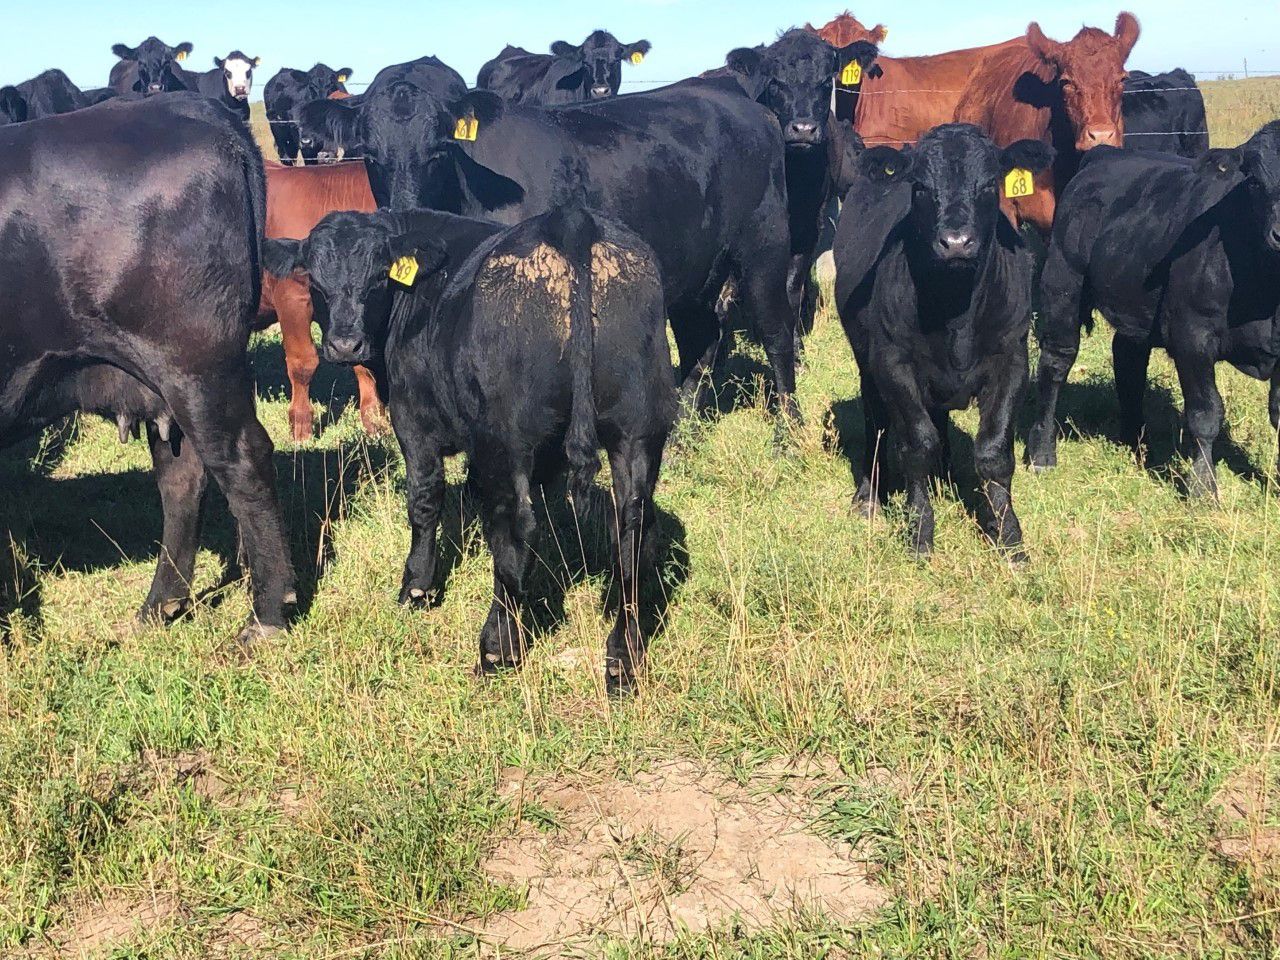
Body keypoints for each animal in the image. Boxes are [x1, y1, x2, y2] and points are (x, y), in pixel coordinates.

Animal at [0, 93, 295, 640]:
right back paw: (159, 606)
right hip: (164, 384)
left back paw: (264, 616)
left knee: (242, 461)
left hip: (195, 366)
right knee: (183, 476)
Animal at [263, 200, 676, 693]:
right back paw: (622, 658)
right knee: (632, 532)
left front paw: (417, 587)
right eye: (313, 277)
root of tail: (570, 219)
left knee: (518, 529)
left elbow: (424, 503)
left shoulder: (414, 422)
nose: (345, 344)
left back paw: (497, 646)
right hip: (637, 431)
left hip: (508, 437)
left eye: (380, 275)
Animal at [309, 74, 802, 427]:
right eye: (371, 154)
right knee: (703, 339)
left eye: (437, 151)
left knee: (777, 334)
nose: (405, 210)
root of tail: (744, 104)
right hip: (693, 269)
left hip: (766, 247)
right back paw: (681, 432)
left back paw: (788, 432)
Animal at [833, 124, 1053, 557]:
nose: (956, 242)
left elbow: (993, 451)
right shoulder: (894, 363)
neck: (956, 311)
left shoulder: (1012, 358)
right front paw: (920, 530)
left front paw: (1008, 535)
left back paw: (946, 475)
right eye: (920, 186)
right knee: (877, 422)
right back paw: (868, 495)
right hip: (867, 363)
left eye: (988, 184)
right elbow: (918, 444)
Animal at [1026, 127, 1280, 497]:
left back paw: (1134, 439)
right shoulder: (1192, 336)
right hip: (1062, 284)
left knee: (1127, 357)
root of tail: (1105, 154)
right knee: (1056, 363)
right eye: (1255, 181)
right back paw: (1042, 452)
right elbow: (1206, 414)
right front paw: (1202, 487)